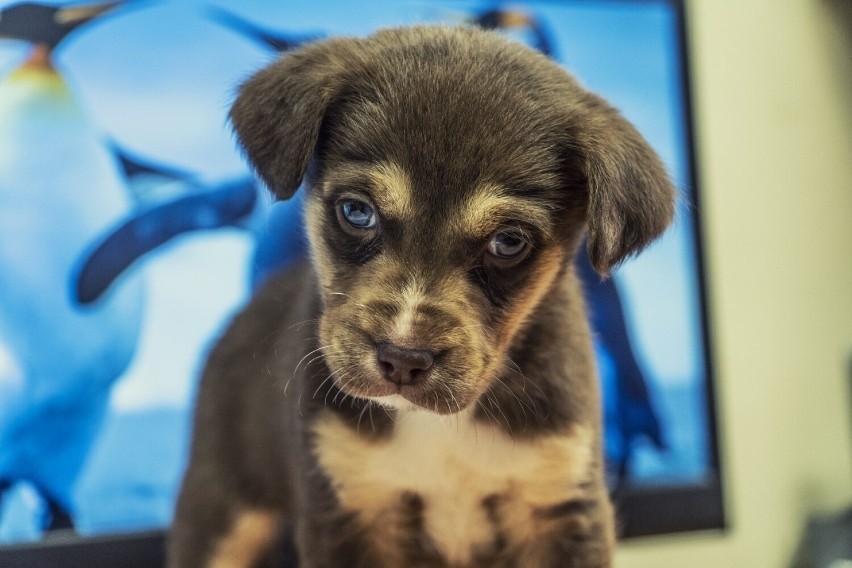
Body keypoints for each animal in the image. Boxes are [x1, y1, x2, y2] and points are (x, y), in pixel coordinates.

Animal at [168, 24, 672, 564]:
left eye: (509, 241)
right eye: (357, 211)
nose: (402, 360)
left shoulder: (559, 505)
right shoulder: (350, 507)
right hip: (220, 511)